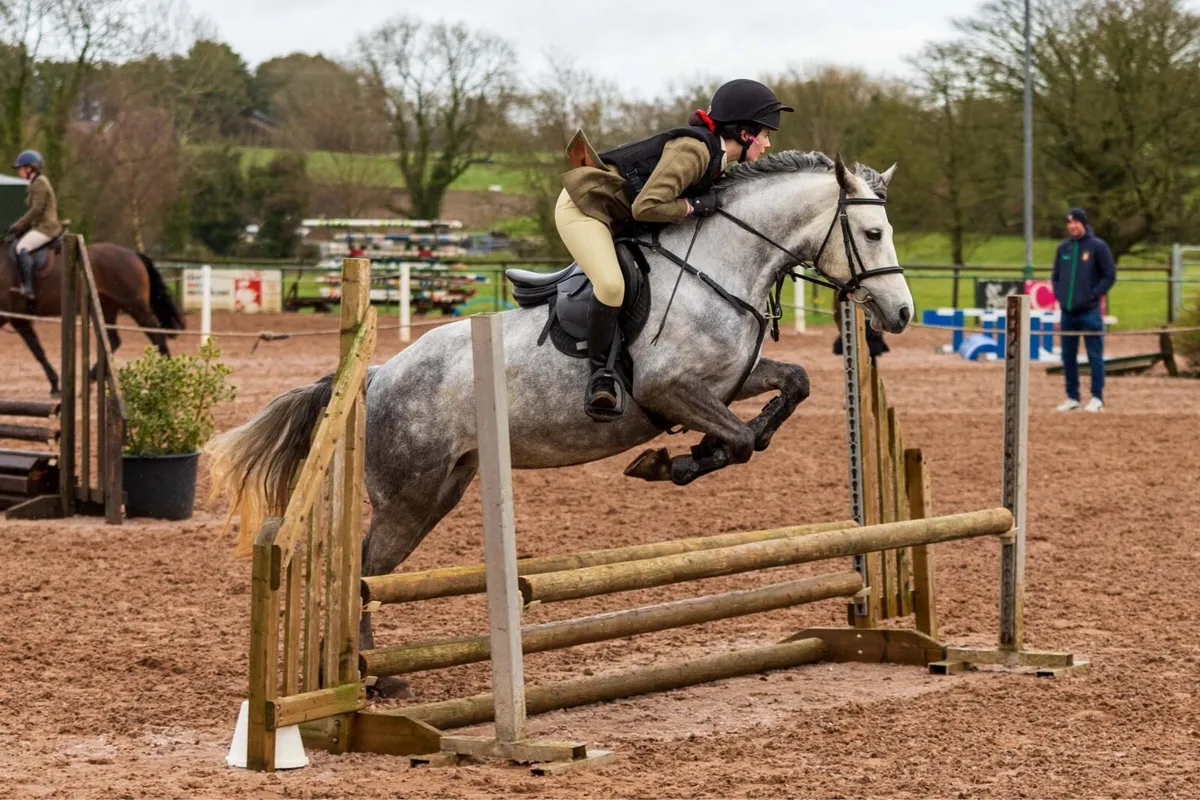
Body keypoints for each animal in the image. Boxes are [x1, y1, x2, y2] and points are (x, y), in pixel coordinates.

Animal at [0, 238, 186, 396]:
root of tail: (133, 254)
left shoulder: (13, 317)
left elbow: (37, 350)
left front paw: (55, 386)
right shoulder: (18, 319)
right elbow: (37, 350)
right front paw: (55, 385)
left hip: (135, 306)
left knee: (157, 337)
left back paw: (169, 378)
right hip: (107, 307)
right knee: (114, 340)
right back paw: (92, 378)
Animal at [206, 151, 915, 696]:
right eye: (871, 233)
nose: (902, 313)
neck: (721, 266)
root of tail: (377, 374)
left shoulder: (727, 382)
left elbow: (789, 389)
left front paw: (682, 458)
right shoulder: (669, 390)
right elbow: (739, 441)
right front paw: (674, 462)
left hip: (441, 490)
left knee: (371, 573)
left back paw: (370, 671)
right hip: (409, 498)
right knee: (362, 573)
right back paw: (373, 677)